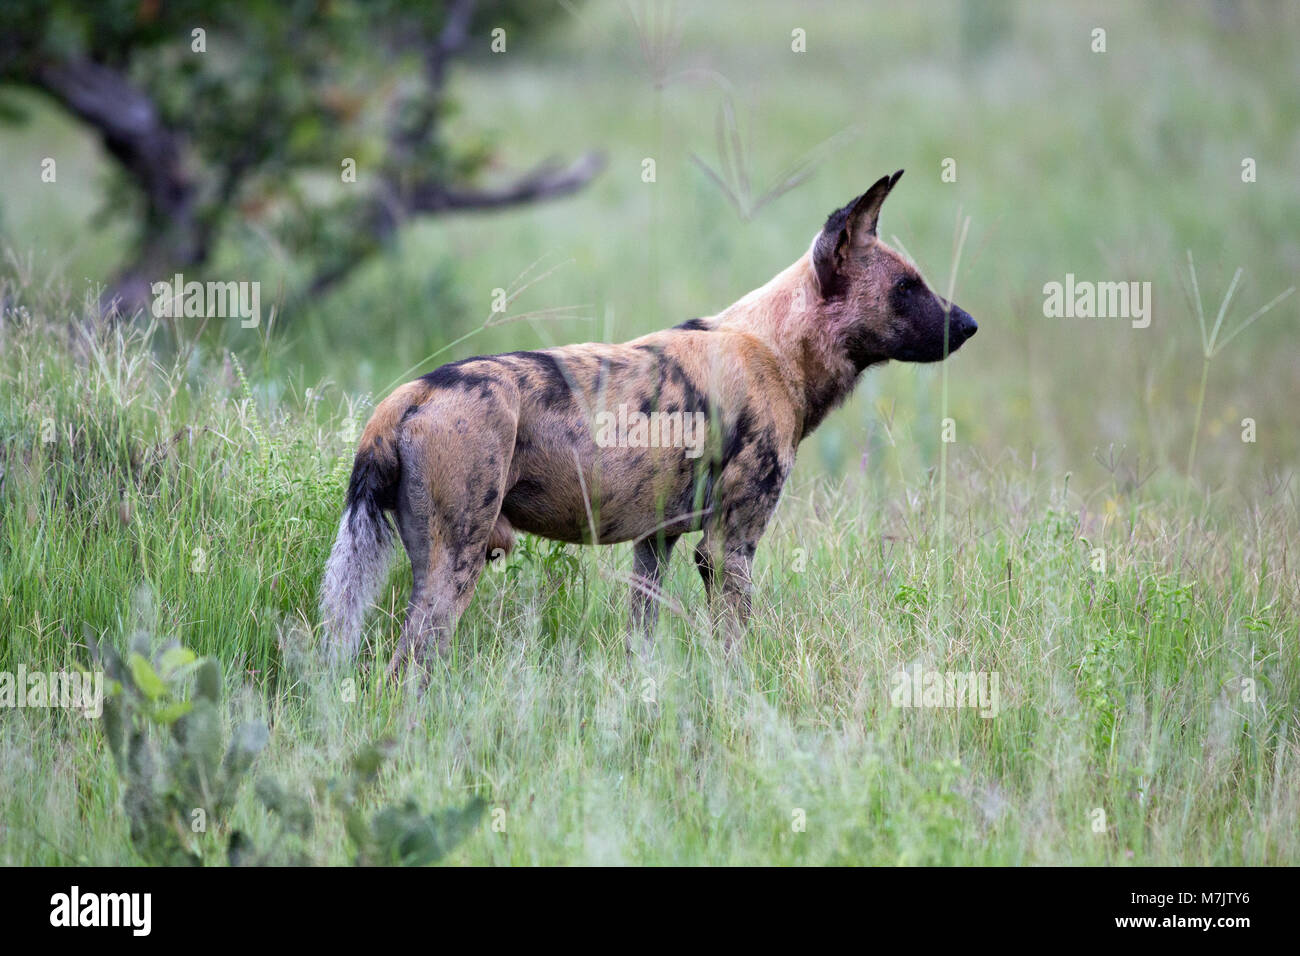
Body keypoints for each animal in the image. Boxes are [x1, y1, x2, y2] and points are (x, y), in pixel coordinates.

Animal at [322, 171, 977, 676]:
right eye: (906, 287)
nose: (969, 324)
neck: (778, 348)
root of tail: (409, 394)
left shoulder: (654, 545)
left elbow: (641, 637)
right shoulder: (728, 546)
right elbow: (734, 648)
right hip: (454, 568)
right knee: (406, 670)